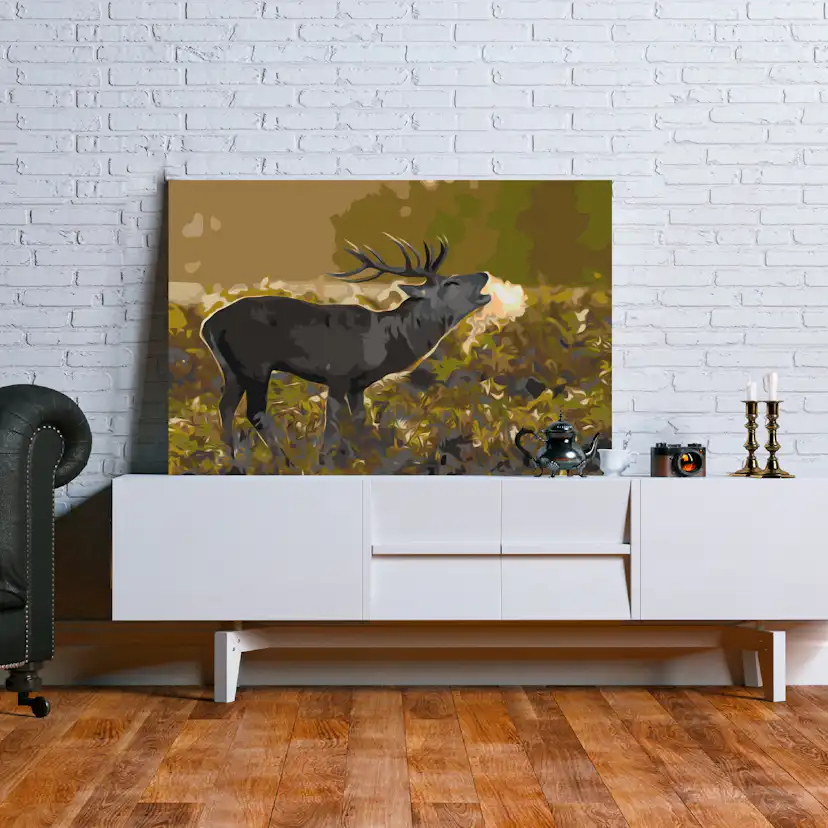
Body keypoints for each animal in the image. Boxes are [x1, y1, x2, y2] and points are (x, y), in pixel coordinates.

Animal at [200, 236, 491, 472]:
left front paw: (361, 459)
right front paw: (324, 464)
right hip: (255, 364)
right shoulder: (338, 373)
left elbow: (359, 421)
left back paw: (232, 462)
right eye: (452, 281)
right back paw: (285, 463)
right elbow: (332, 424)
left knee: (225, 406)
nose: (484, 273)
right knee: (255, 412)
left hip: (232, 369)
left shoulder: (357, 385)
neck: (384, 342)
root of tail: (207, 325)